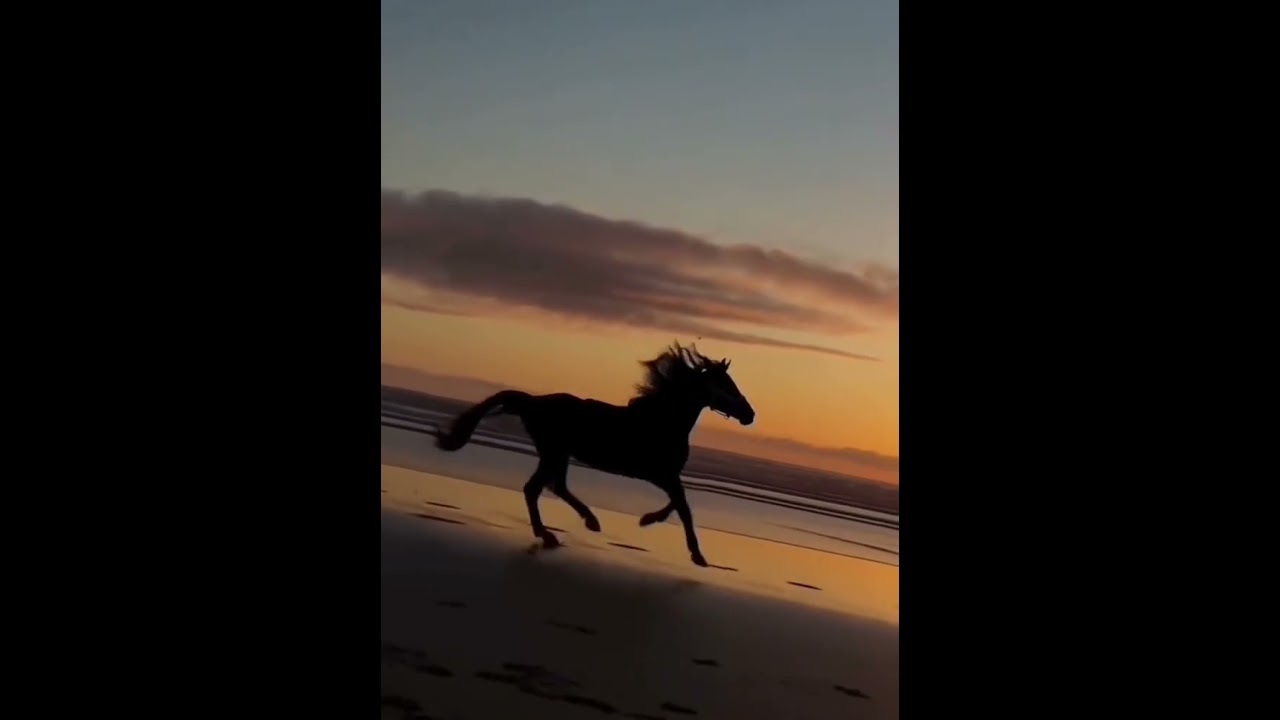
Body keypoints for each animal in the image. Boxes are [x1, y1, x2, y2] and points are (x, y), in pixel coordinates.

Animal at [433, 342, 755, 567]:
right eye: (727, 386)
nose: (750, 415)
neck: (663, 421)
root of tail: (532, 401)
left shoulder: (665, 476)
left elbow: (677, 505)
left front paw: (648, 520)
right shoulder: (662, 475)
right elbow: (684, 507)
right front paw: (697, 555)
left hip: (557, 454)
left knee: (553, 486)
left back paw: (586, 522)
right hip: (553, 452)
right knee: (535, 488)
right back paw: (552, 533)